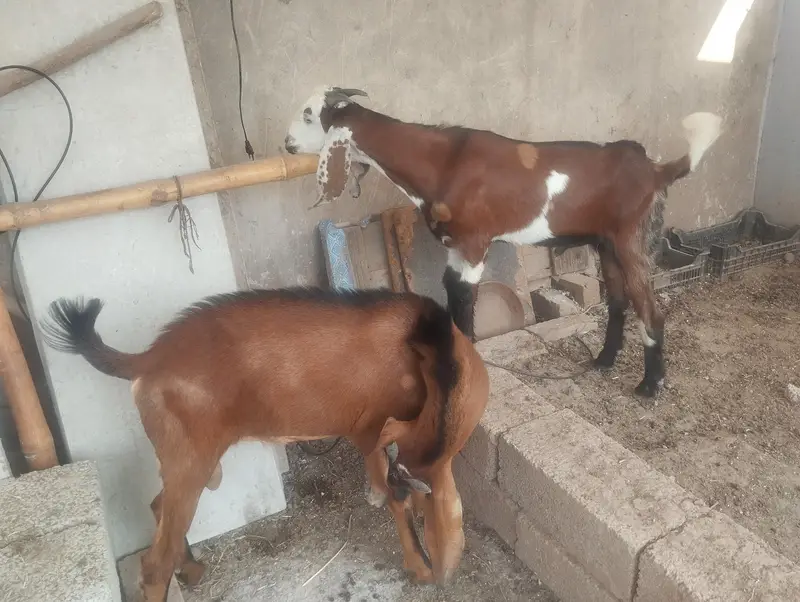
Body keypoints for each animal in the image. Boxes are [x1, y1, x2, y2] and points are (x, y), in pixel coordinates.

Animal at [39, 288, 489, 602]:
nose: (447, 570)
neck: (424, 347)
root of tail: (147, 359)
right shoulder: (388, 436)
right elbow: (400, 499)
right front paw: (423, 567)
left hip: (191, 461)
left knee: (158, 509)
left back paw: (192, 571)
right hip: (191, 460)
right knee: (153, 564)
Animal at [284, 86, 722, 397]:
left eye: (309, 114)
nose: (286, 144)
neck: (444, 161)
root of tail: (655, 169)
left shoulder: (474, 242)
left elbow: (465, 298)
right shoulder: (455, 245)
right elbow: (452, 293)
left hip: (632, 239)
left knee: (651, 310)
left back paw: (649, 386)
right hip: (607, 244)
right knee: (618, 301)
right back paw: (603, 360)